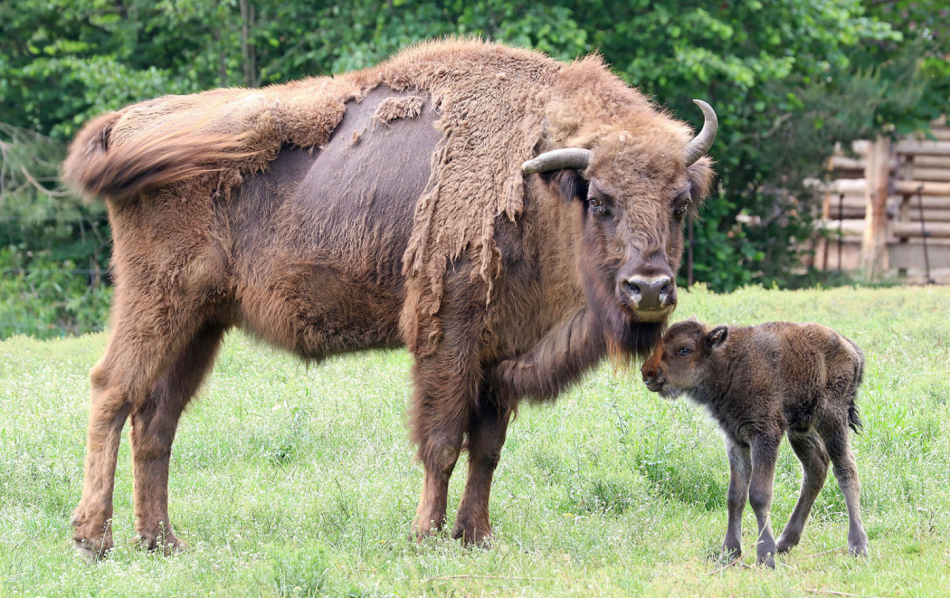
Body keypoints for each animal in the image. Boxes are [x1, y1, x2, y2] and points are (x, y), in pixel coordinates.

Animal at [63, 39, 716, 560]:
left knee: (157, 420)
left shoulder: (500, 352)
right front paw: (425, 535)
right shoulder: (449, 335)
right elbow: (443, 442)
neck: (541, 189)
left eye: (680, 202)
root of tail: (125, 122)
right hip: (158, 299)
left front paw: (477, 536)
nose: (649, 288)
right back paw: (93, 539)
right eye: (599, 199)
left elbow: (487, 449)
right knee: (112, 390)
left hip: (201, 323)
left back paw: (162, 541)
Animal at [640, 318, 872, 568]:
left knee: (846, 469)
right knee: (815, 469)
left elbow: (759, 495)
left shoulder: (765, 436)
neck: (727, 362)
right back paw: (785, 542)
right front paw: (729, 553)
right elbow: (735, 496)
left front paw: (765, 556)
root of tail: (849, 347)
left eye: (685, 349)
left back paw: (857, 546)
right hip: (800, 429)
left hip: (832, 420)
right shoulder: (737, 441)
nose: (647, 373)